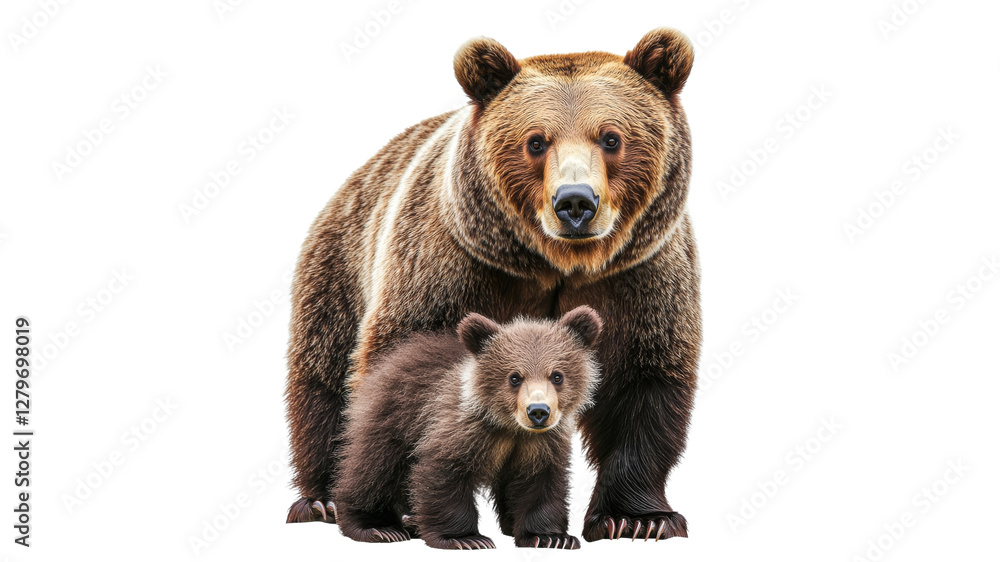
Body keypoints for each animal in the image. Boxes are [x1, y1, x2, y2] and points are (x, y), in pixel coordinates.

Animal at [332, 306, 603, 550]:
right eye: (514, 377)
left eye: (557, 376)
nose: (538, 411)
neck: (509, 428)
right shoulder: (460, 430)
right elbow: (445, 474)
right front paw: (466, 538)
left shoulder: (540, 445)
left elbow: (540, 483)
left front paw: (551, 537)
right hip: (393, 417)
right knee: (374, 467)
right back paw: (378, 527)